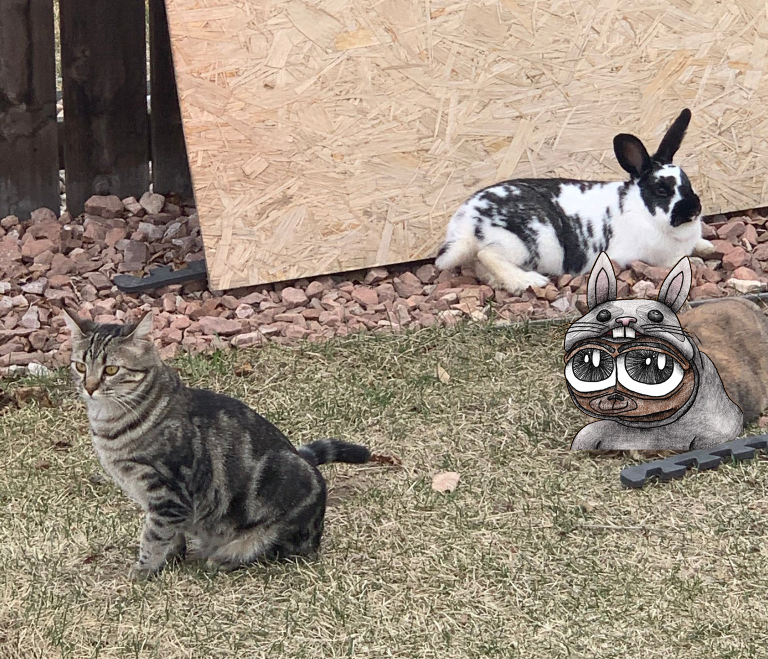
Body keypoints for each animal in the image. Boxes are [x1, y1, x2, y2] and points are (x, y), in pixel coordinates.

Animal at [435, 109, 714, 294]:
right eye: (661, 190)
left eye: (688, 182)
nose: (694, 209)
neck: (640, 210)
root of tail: (465, 225)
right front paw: (697, 261)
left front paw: (707, 248)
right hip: (520, 243)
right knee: (488, 254)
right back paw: (529, 281)